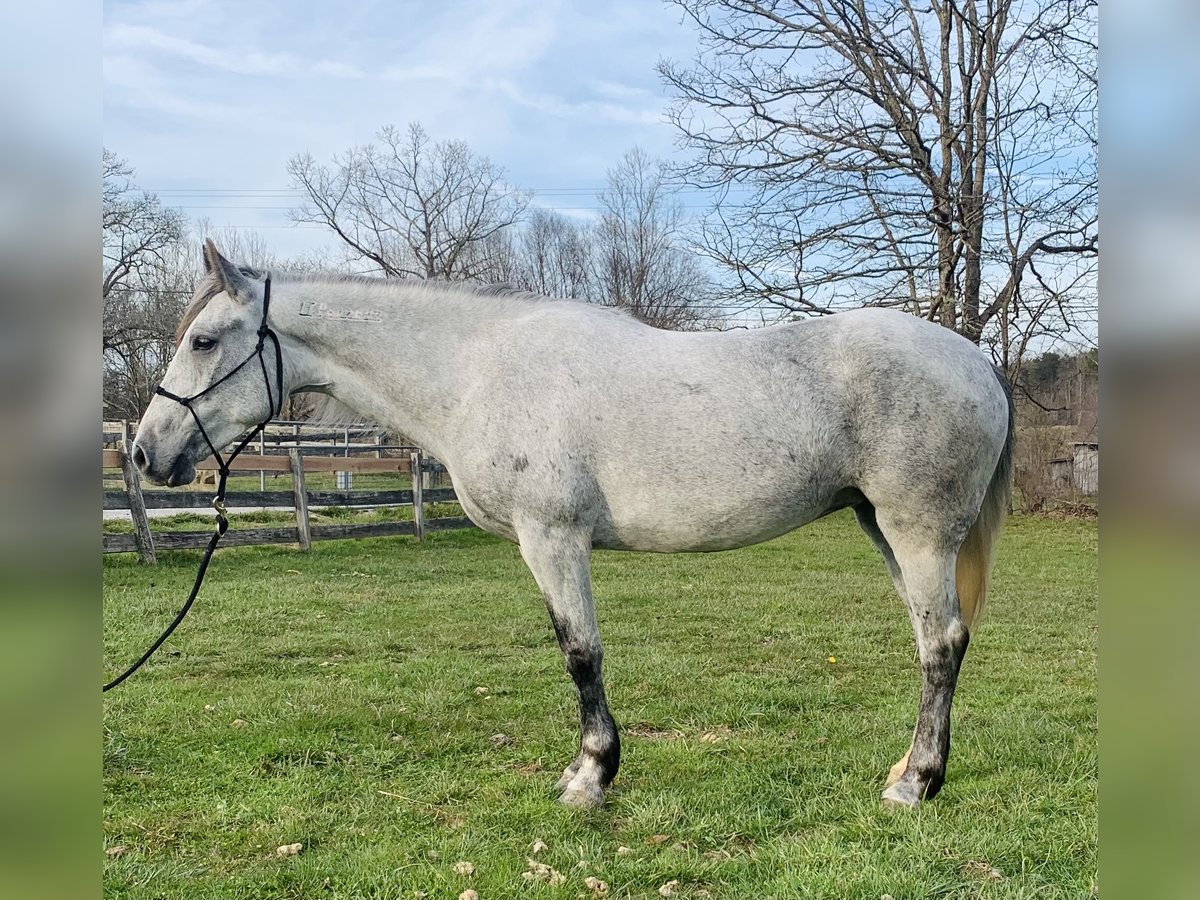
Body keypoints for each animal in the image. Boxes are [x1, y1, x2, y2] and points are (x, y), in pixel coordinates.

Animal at [133, 240, 1012, 811]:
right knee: (934, 642)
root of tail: (979, 361)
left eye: (204, 340)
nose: (144, 452)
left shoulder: (551, 538)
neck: (478, 369)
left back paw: (915, 785)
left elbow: (580, 653)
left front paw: (590, 777)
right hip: (882, 529)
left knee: (940, 647)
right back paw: (904, 769)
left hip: (917, 531)